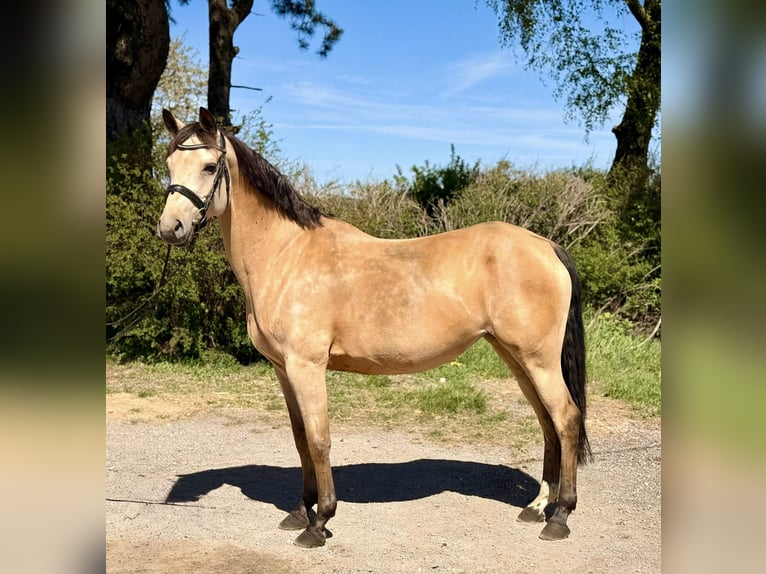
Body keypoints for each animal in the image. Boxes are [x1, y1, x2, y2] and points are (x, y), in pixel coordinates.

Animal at [157, 107, 591, 548]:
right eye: (169, 164)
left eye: (210, 167)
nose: (170, 228)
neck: (285, 255)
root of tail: (545, 245)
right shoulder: (283, 369)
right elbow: (300, 440)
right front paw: (299, 512)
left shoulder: (306, 366)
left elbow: (319, 440)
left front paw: (319, 522)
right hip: (517, 359)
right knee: (548, 424)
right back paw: (537, 507)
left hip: (538, 360)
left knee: (566, 419)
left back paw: (560, 517)